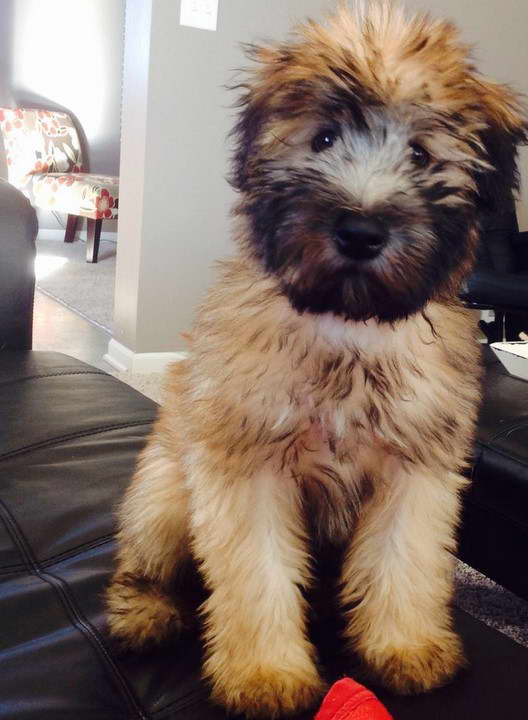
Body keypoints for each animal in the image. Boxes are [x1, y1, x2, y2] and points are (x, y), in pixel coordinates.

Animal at [106, 2, 524, 716]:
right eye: (323, 139)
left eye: (420, 153)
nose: (360, 230)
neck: (347, 326)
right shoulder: (246, 468)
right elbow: (257, 576)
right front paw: (265, 674)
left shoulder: (416, 470)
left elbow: (405, 560)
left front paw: (405, 646)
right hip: (163, 493)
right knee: (143, 564)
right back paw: (146, 614)